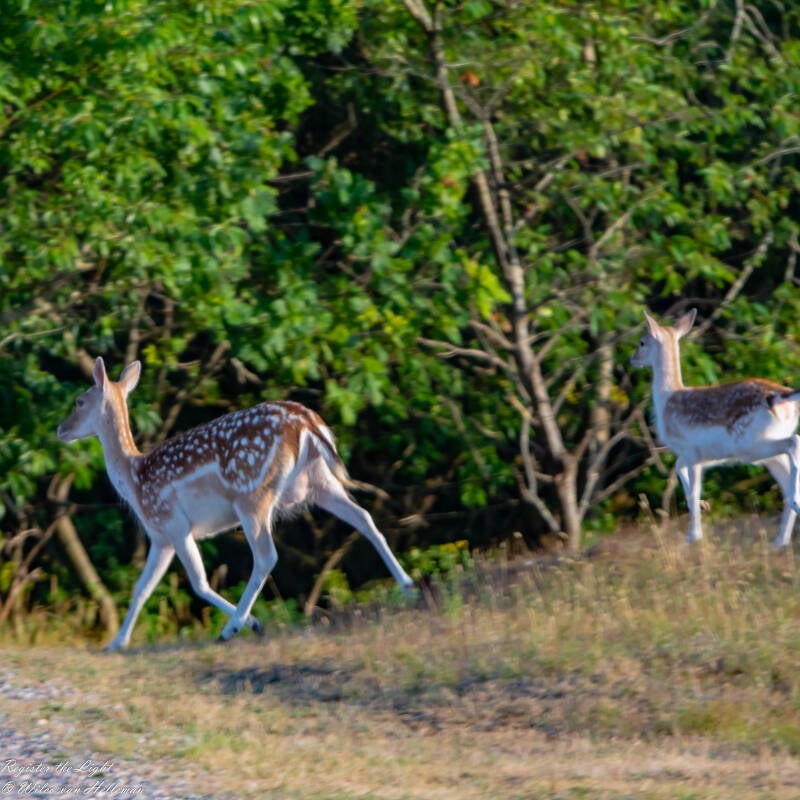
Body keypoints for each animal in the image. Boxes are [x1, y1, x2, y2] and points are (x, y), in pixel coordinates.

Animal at [56, 357, 414, 650]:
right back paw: (408, 587)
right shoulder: (160, 537)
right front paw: (116, 643)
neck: (134, 480)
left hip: (252, 492)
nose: (60, 430)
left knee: (266, 556)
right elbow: (140, 589)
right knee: (364, 518)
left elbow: (199, 584)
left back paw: (231, 629)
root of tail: (307, 422)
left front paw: (253, 623)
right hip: (319, 483)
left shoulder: (173, 523)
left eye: (80, 401)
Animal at [631, 307, 800, 547]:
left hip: (749, 445)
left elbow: (691, 487)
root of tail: (781, 397)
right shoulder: (702, 455)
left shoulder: (691, 449)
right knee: (787, 480)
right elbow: (680, 470)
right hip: (766, 452)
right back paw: (780, 540)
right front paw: (702, 506)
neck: (666, 399)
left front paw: (693, 537)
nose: (632, 359)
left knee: (794, 443)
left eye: (642, 342)